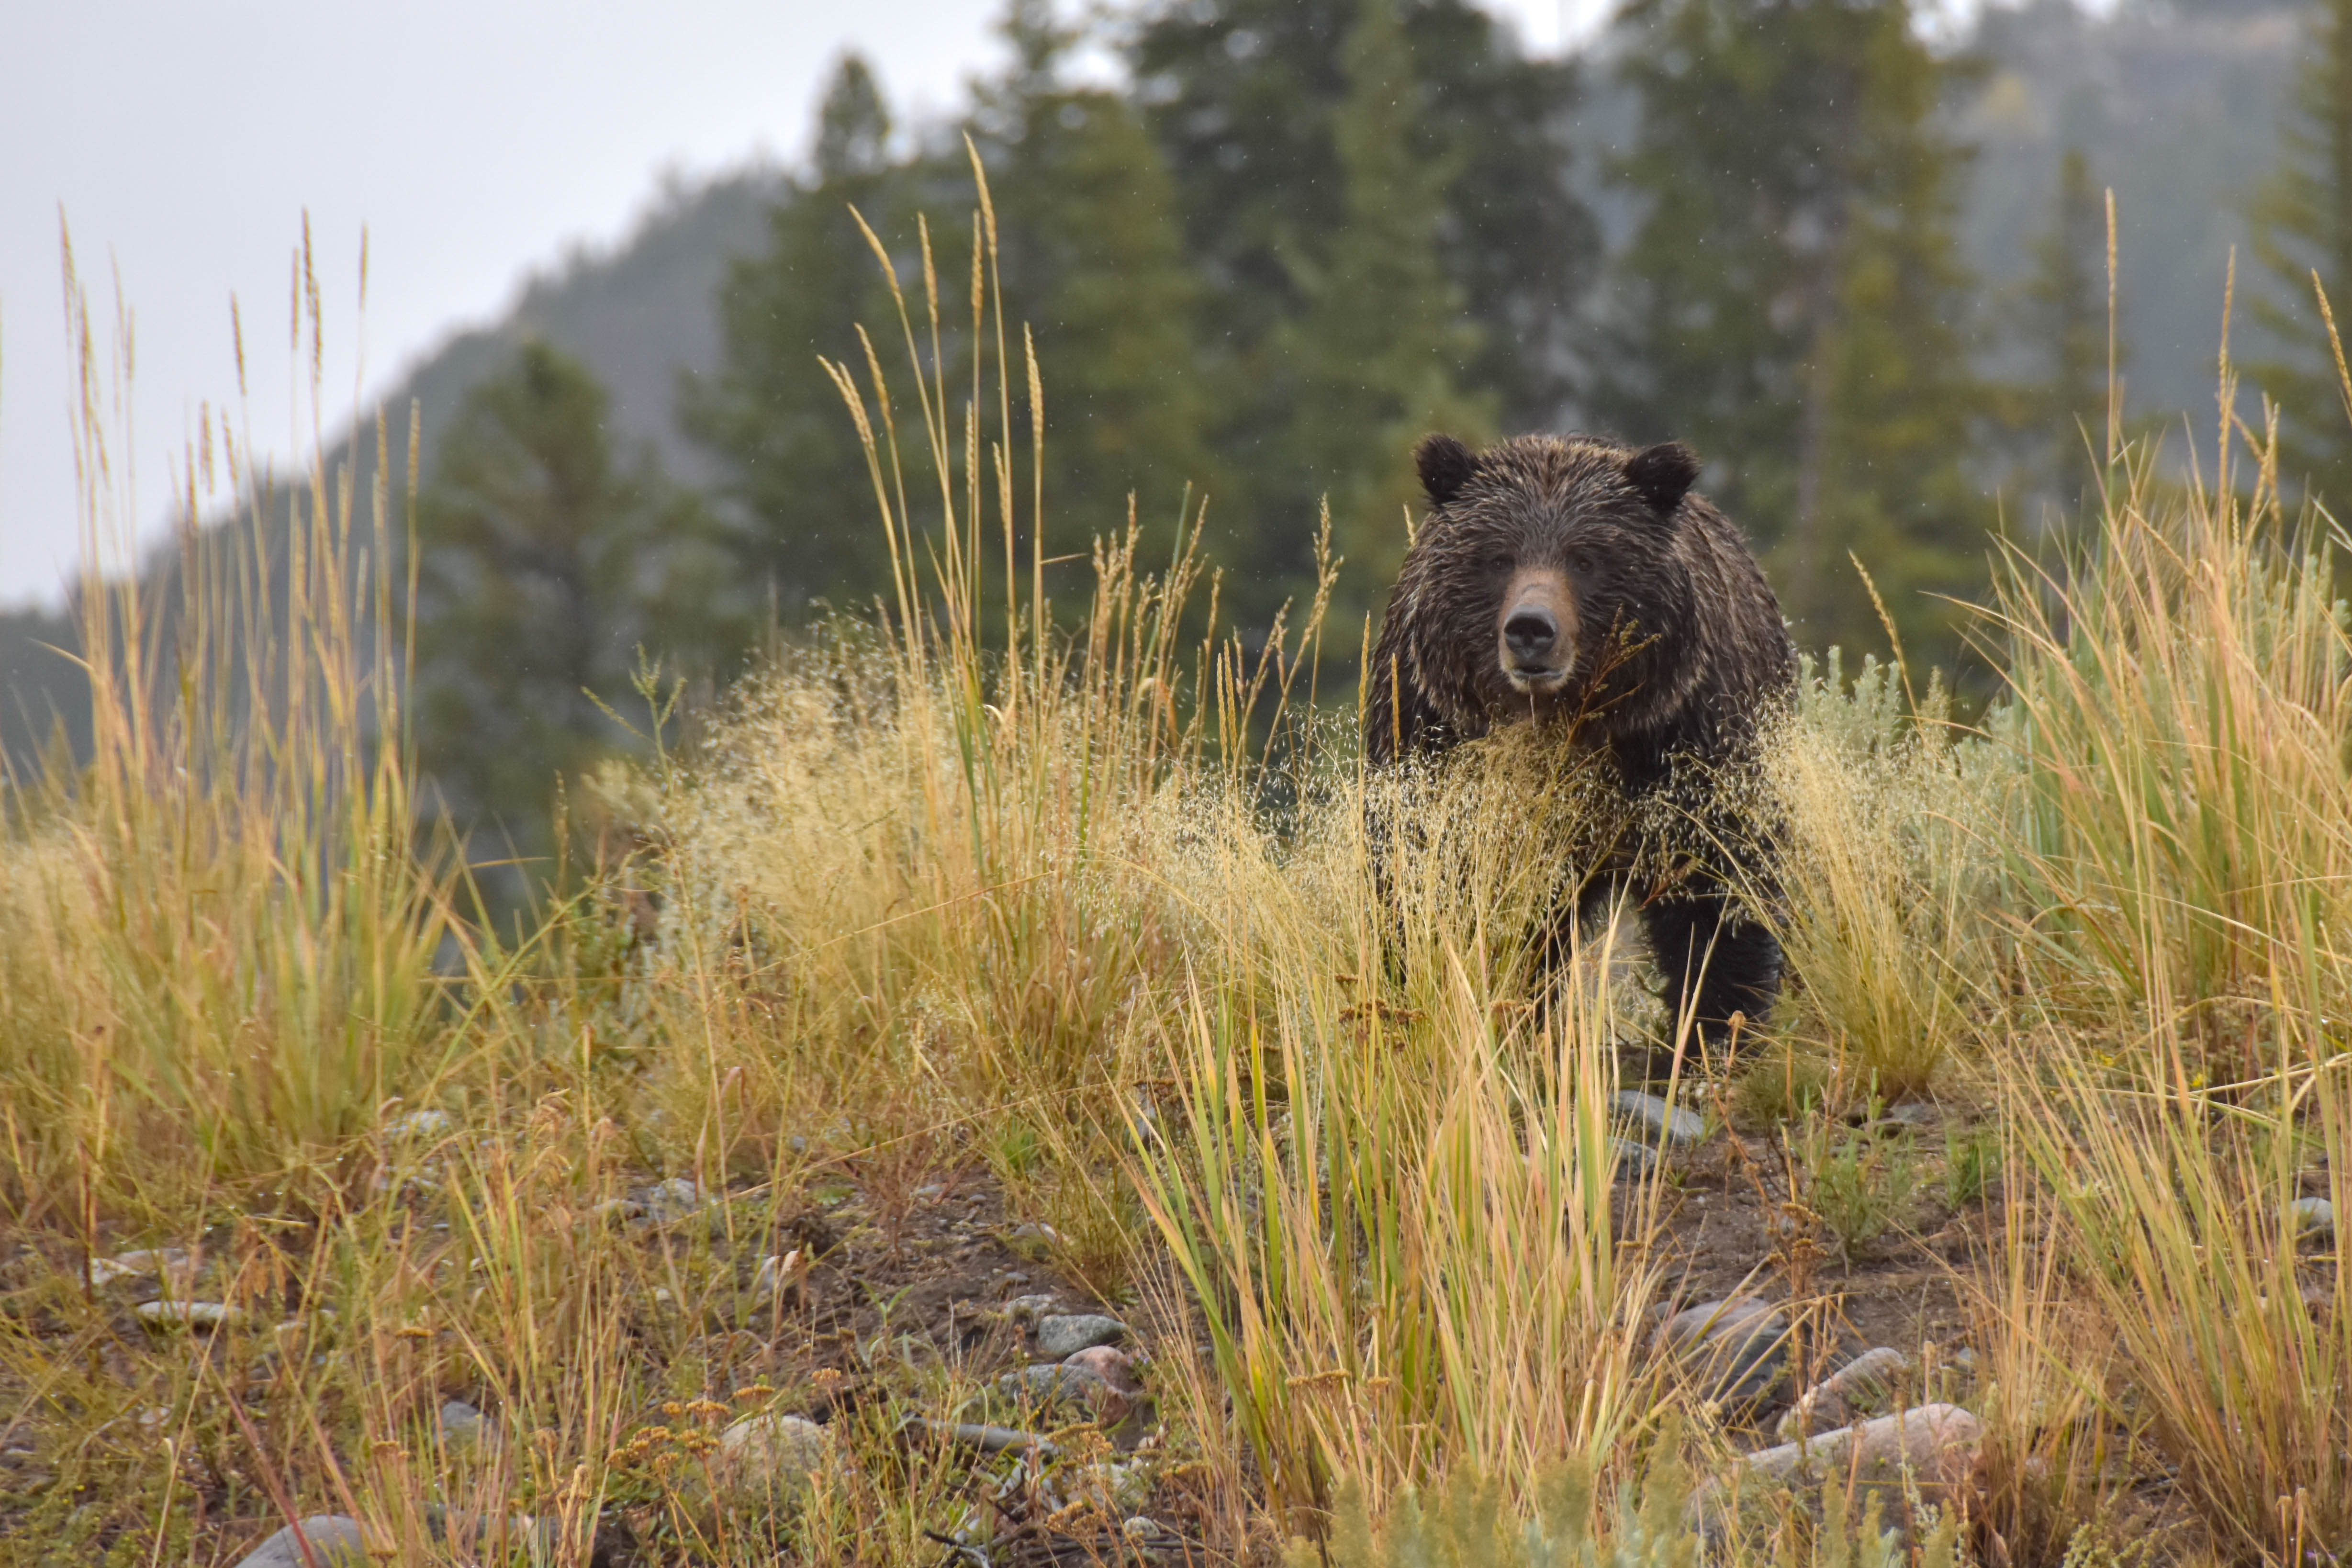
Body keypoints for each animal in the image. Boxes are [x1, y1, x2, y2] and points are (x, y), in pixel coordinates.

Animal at [1373, 425, 1787, 1053]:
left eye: (1587, 557)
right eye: (1498, 557)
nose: (1530, 629)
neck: (1567, 724)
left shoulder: (1689, 742)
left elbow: (1718, 893)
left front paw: (1711, 1033)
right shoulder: (1432, 737)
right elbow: (1432, 880)